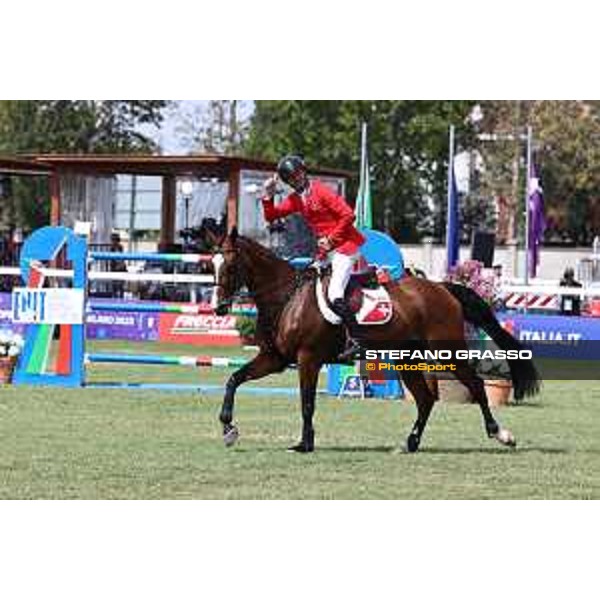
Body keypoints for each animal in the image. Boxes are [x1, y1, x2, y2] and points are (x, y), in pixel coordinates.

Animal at [206, 227, 540, 452]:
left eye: (231, 265)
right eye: (211, 265)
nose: (219, 308)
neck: (287, 298)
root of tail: (442, 288)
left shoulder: (308, 359)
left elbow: (307, 402)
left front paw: (305, 443)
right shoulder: (275, 358)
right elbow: (234, 379)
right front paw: (228, 428)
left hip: (447, 352)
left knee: (475, 385)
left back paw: (501, 434)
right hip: (407, 358)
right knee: (426, 399)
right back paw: (410, 442)